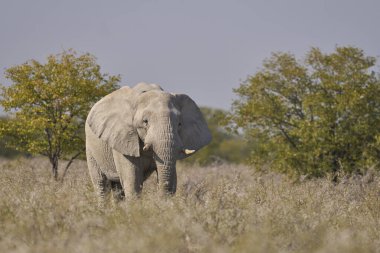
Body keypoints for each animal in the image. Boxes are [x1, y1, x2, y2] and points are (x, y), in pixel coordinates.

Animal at [84, 83, 212, 204]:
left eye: (179, 124)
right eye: (145, 121)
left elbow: (173, 177)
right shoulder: (124, 139)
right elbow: (133, 181)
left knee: (117, 189)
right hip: (90, 148)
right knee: (101, 185)